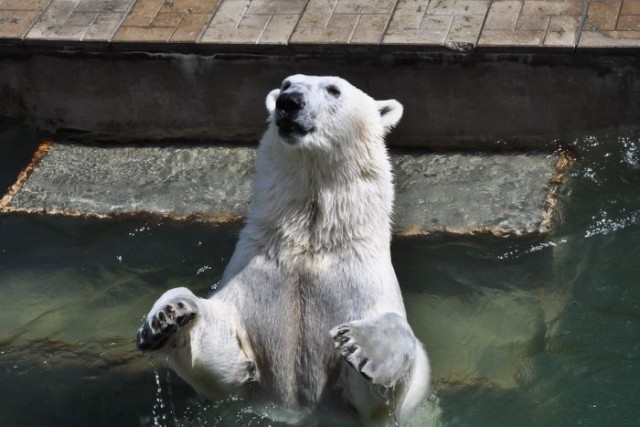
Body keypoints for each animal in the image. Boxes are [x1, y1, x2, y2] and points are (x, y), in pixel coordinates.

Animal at [138, 74, 432, 424]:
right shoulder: (257, 272)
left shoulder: (361, 282)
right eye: (287, 82)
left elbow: (383, 387)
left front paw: (359, 343)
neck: (310, 243)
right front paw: (166, 316)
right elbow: (228, 355)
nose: (289, 102)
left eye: (334, 89)